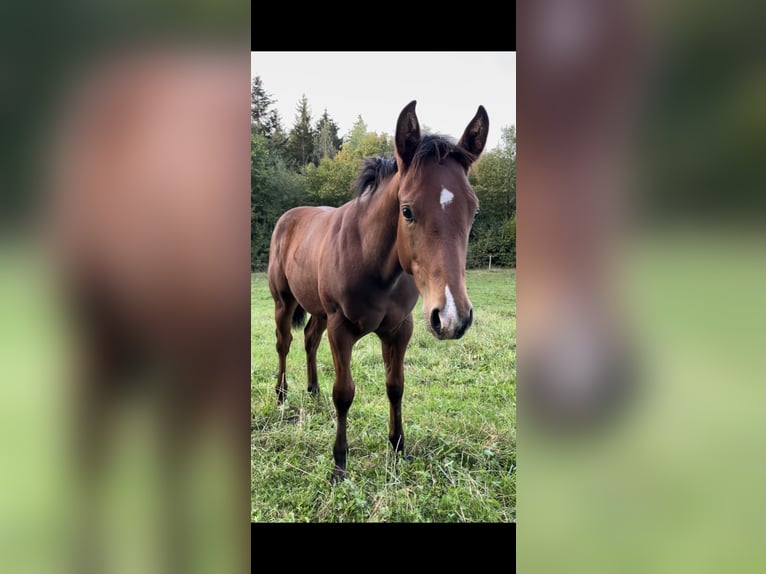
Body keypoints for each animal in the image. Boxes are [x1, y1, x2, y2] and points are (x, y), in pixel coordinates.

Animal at [267, 100, 489, 481]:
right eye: (407, 210)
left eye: (473, 211)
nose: (451, 317)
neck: (373, 261)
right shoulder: (341, 327)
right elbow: (343, 393)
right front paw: (339, 465)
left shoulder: (400, 328)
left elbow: (395, 386)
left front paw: (399, 448)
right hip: (285, 302)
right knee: (285, 343)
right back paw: (283, 396)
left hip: (319, 311)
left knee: (310, 339)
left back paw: (312, 391)